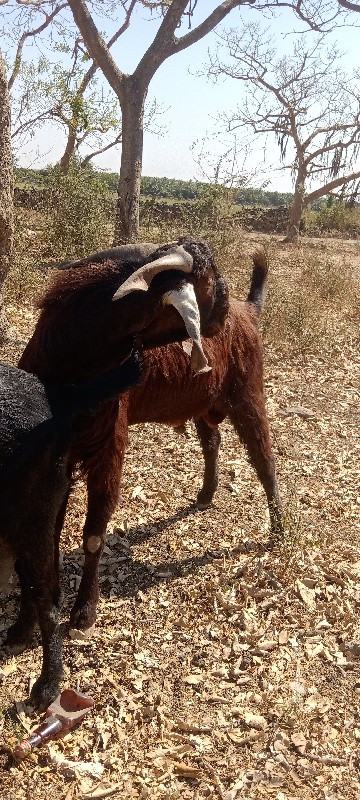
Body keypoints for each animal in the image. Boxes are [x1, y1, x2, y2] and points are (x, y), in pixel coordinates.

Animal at [20, 241, 282, 636]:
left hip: (247, 392)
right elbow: (48, 532)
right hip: (203, 402)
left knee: (264, 459)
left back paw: (279, 530)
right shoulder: (55, 456)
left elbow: (93, 536)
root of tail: (249, 312)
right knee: (212, 442)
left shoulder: (108, 447)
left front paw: (84, 612)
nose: (222, 315)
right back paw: (206, 495)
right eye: (211, 281)